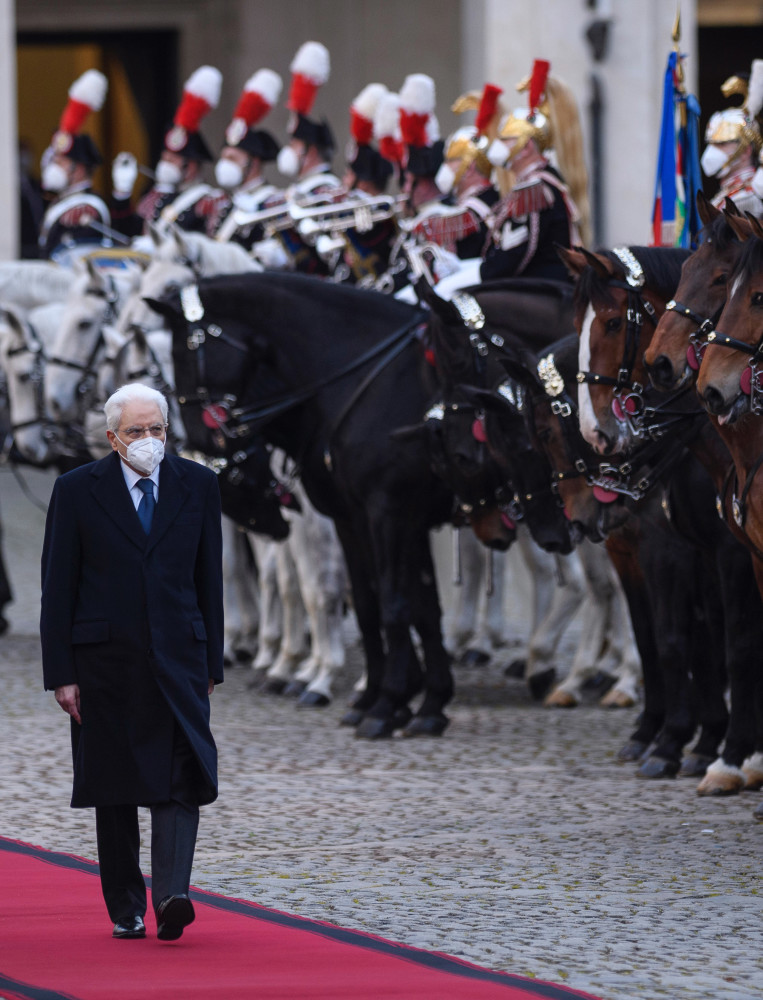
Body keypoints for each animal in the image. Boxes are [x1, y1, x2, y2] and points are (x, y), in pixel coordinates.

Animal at [151, 270, 460, 740]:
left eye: (183, 357)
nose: (201, 444)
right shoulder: (366, 518)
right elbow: (389, 602)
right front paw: (419, 699)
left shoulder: (385, 513)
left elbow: (368, 597)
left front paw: (378, 697)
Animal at [560, 242, 763, 788]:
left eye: (612, 323)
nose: (598, 432)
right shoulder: (681, 551)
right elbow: (676, 639)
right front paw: (688, 742)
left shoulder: (708, 552)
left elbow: (728, 644)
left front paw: (725, 755)